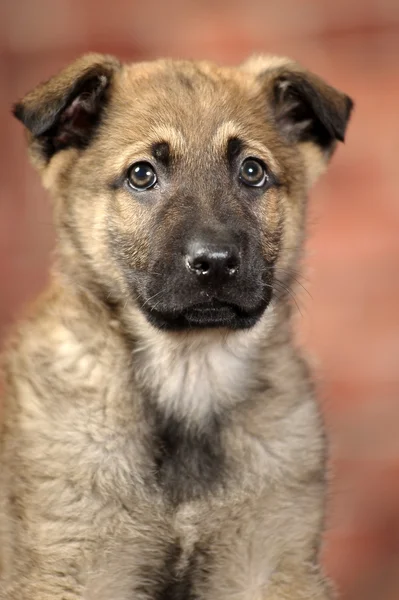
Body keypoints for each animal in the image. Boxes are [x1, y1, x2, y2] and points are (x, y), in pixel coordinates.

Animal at [0, 54, 354, 596]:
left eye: (252, 171)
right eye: (142, 174)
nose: (215, 263)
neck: (190, 375)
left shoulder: (271, 562)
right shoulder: (72, 569)